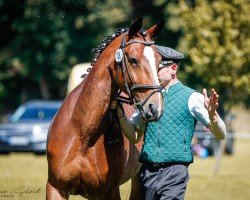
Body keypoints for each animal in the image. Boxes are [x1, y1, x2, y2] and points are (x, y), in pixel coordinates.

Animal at [46, 18, 165, 199]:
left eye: (158, 61)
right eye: (133, 60)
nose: (155, 107)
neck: (82, 131)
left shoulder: (108, 191)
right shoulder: (56, 188)